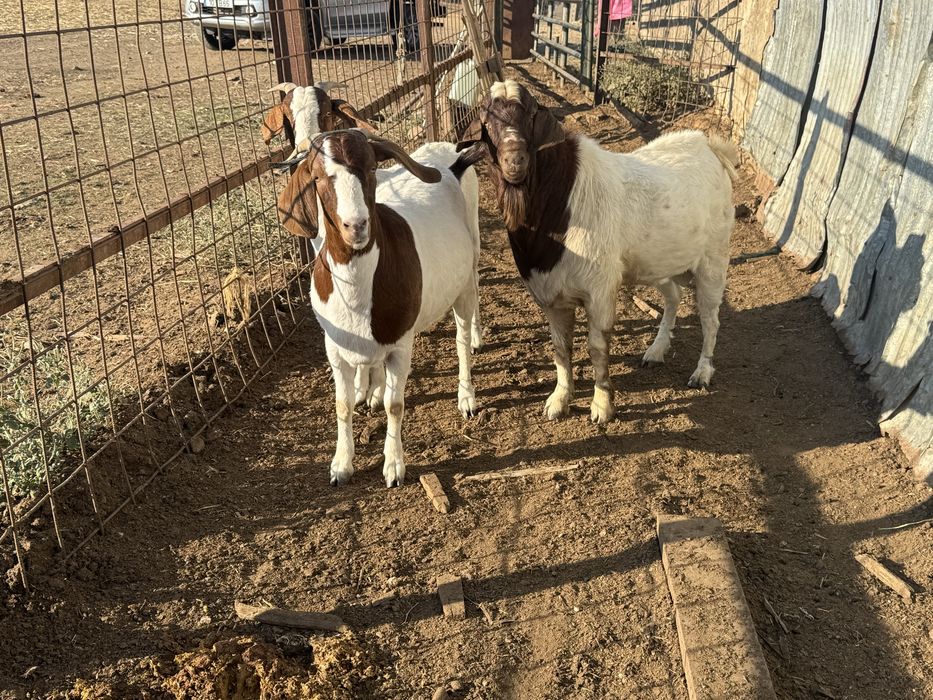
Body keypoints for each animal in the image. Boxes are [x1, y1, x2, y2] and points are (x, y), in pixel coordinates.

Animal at [277, 130, 485, 487]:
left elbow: (395, 405)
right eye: (318, 177)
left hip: (467, 273)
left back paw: (466, 392)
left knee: (461, 333)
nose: (356, 225)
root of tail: (452, 159)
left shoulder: (400, 344)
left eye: (372, 167)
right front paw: (341, 464)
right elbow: (342, 403)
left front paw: (393, 465)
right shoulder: (335, 346)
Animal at [457, 79, 738, 424]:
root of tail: (709, 146)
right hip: (660, 262)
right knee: (674, 296)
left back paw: (702, 372)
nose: (515, 160)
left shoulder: (600, 289)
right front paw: (559, 400)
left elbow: (597, 347)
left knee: (711, 319)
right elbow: (561, 348)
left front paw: (602, 406)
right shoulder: (551, 296)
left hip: (714, 258)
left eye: (533, 115)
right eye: (486, 118)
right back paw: (655, 351)